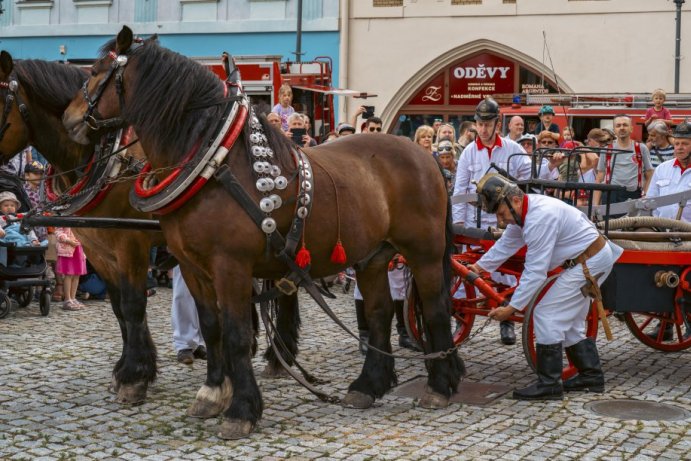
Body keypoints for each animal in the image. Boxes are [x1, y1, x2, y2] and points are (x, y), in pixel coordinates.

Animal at [63, 25, 464, 438]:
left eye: (96, 72)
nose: (69, 119)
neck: (213, 164)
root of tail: (425, 156)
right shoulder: (191, 266)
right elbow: (212, 327)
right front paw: (212, 393)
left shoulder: (231, 266)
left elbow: (237, 334)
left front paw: (241, 409)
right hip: (372, 255)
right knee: (380, 311)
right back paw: (368, 385)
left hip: (424, 251)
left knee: (435, 309)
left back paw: (439, 385)